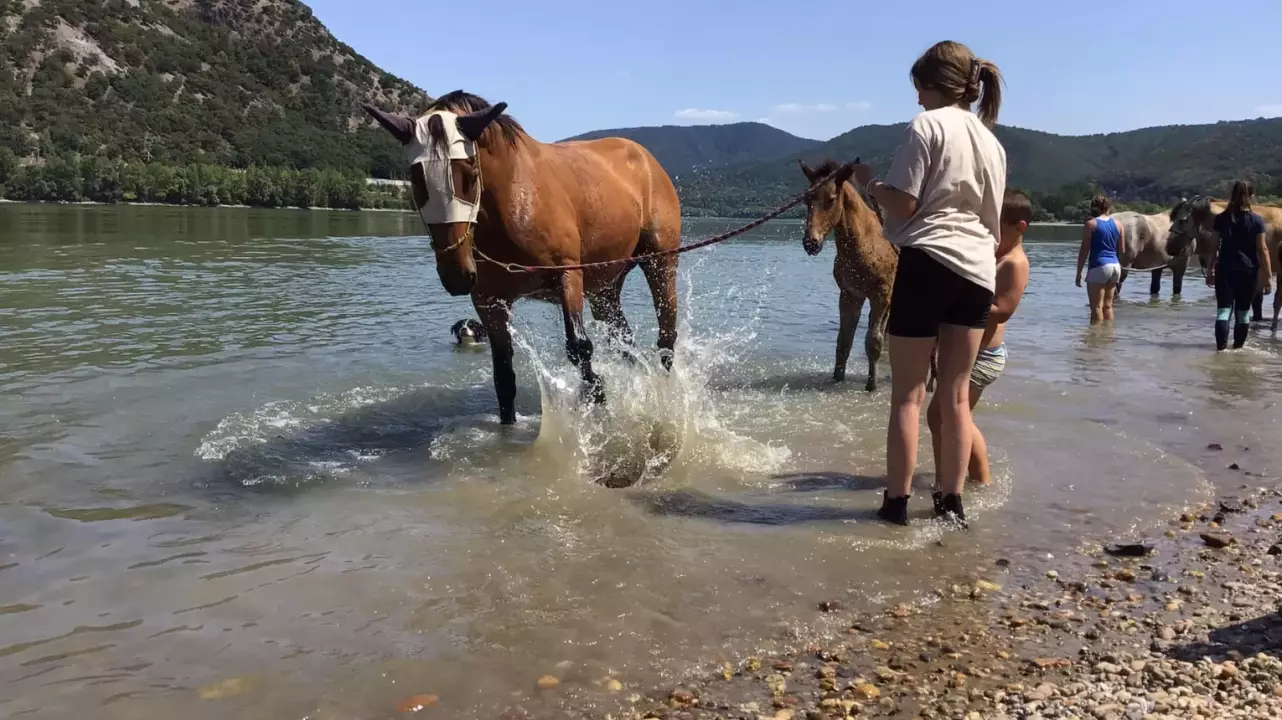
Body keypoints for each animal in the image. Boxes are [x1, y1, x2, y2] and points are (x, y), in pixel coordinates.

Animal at [361, 91, 682, 422]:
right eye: (416, 179)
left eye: (470, 174)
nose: (456, 273)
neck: (513, 199)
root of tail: (645, 158)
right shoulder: (488, 299)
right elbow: (503, 375)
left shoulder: (569, 276)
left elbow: (579, 349)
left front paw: (597, 397)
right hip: (604, 288)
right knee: (626, 345)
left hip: (660, 263)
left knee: (666, 338)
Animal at [794, 159, 897, 389]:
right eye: (806, 199)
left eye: (832, 199)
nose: (810, 243)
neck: (865, 243)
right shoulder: (850, 295)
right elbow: (844, 342)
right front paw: (837, 378)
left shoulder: (880, 295)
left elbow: (873, 342)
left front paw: (871, 386)